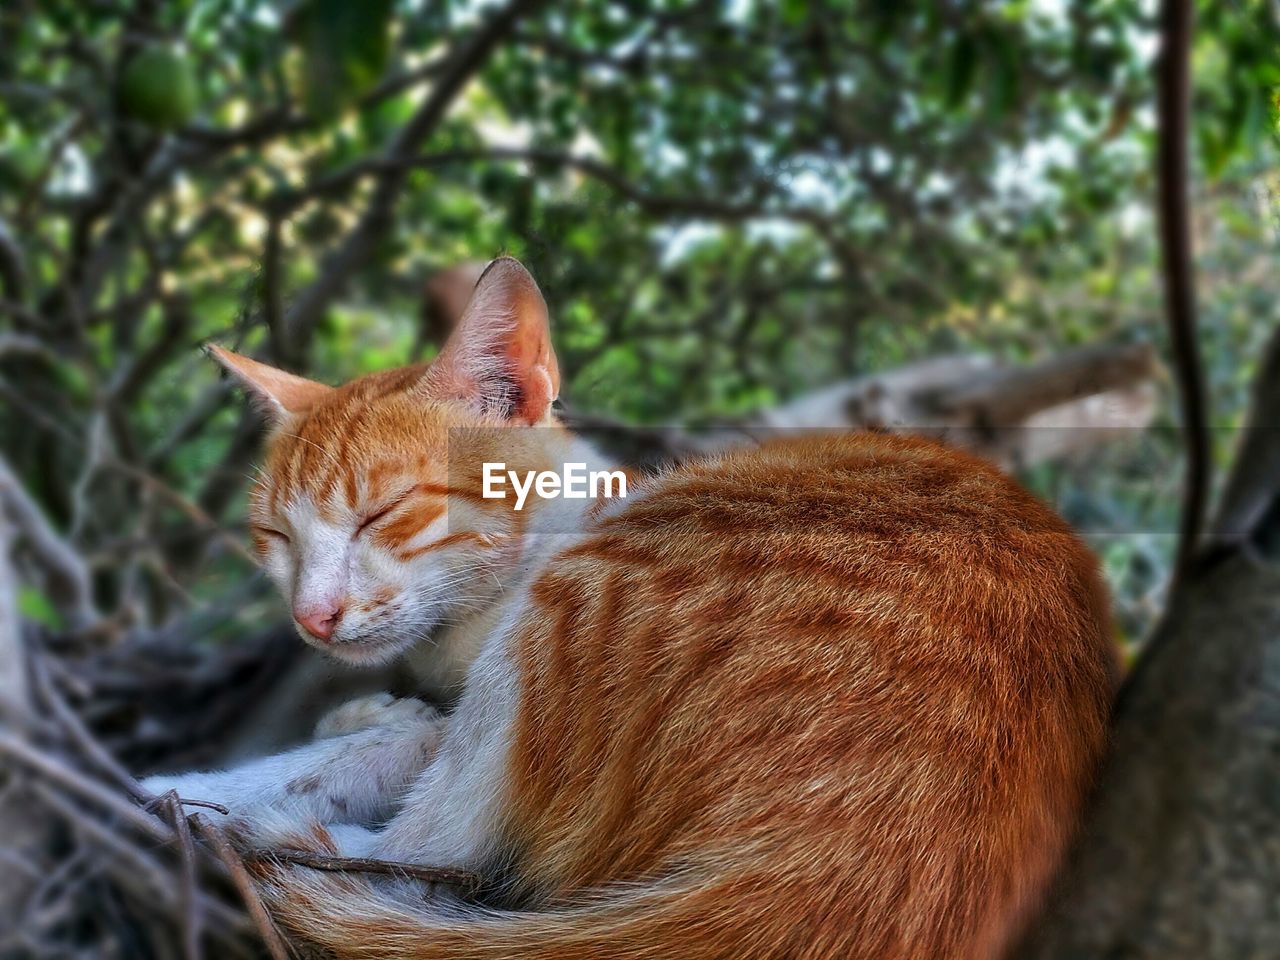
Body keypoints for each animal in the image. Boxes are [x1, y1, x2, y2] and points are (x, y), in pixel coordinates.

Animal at [145, 257, 1116, 960]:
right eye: (275, 535)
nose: (312, 617)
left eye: (382, 514)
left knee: (435, 848)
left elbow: (380, 754)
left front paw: (207, 780)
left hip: (576, 608)